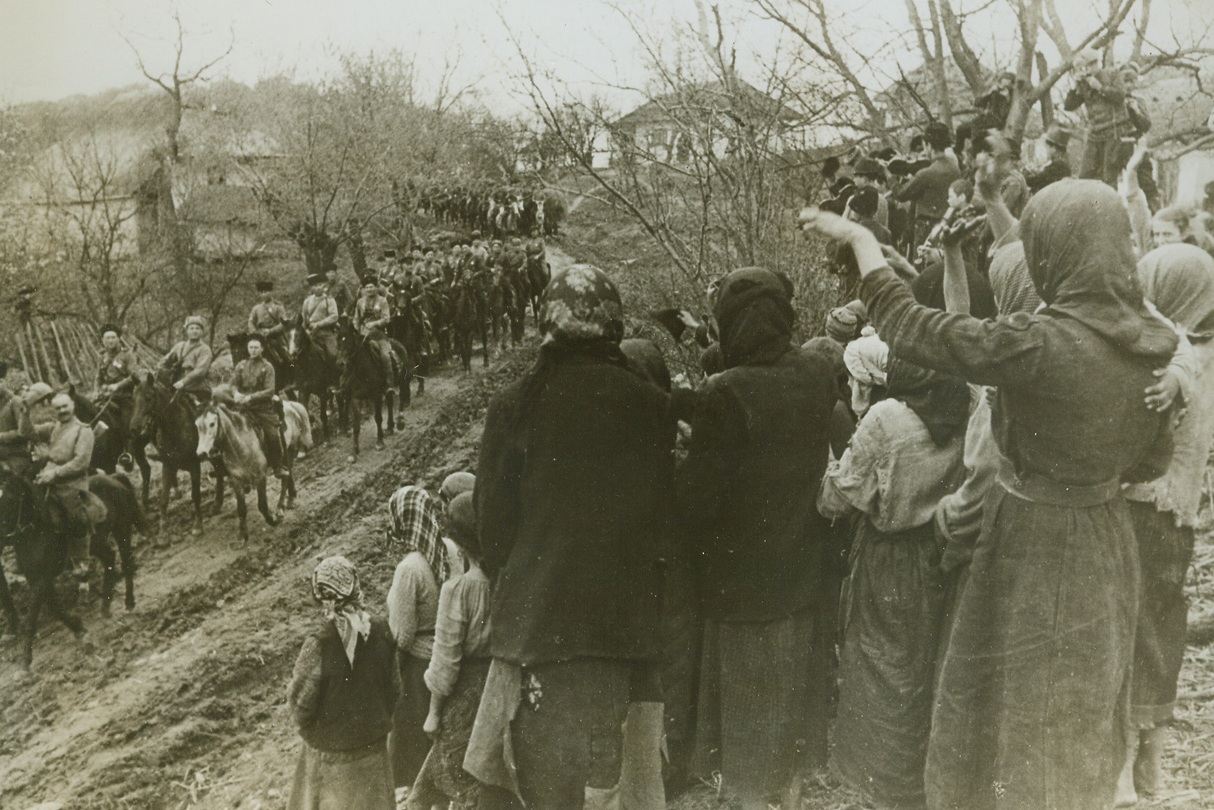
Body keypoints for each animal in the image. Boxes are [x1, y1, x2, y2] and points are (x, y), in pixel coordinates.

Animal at [0, 466, 143, 670]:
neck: (38, 527)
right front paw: (78, 627)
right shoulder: (36, 577)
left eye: (10, 498)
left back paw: (129, 602)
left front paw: (26, 658)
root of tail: (115, 478)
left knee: (127, 563)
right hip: (96, 543)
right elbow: (53, 606)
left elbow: (34, 613)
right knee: (109, 558)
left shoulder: (42, 578)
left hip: (122, 530)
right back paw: (105, 607)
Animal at [129, 374, 214, 539]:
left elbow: (195, 495)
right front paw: (163, 532)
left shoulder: (195, 466)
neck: (175, 429)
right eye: (133, 398)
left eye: (149, 398)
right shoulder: (167, 466)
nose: (134, 428)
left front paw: (197, 525)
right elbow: (163, 499)